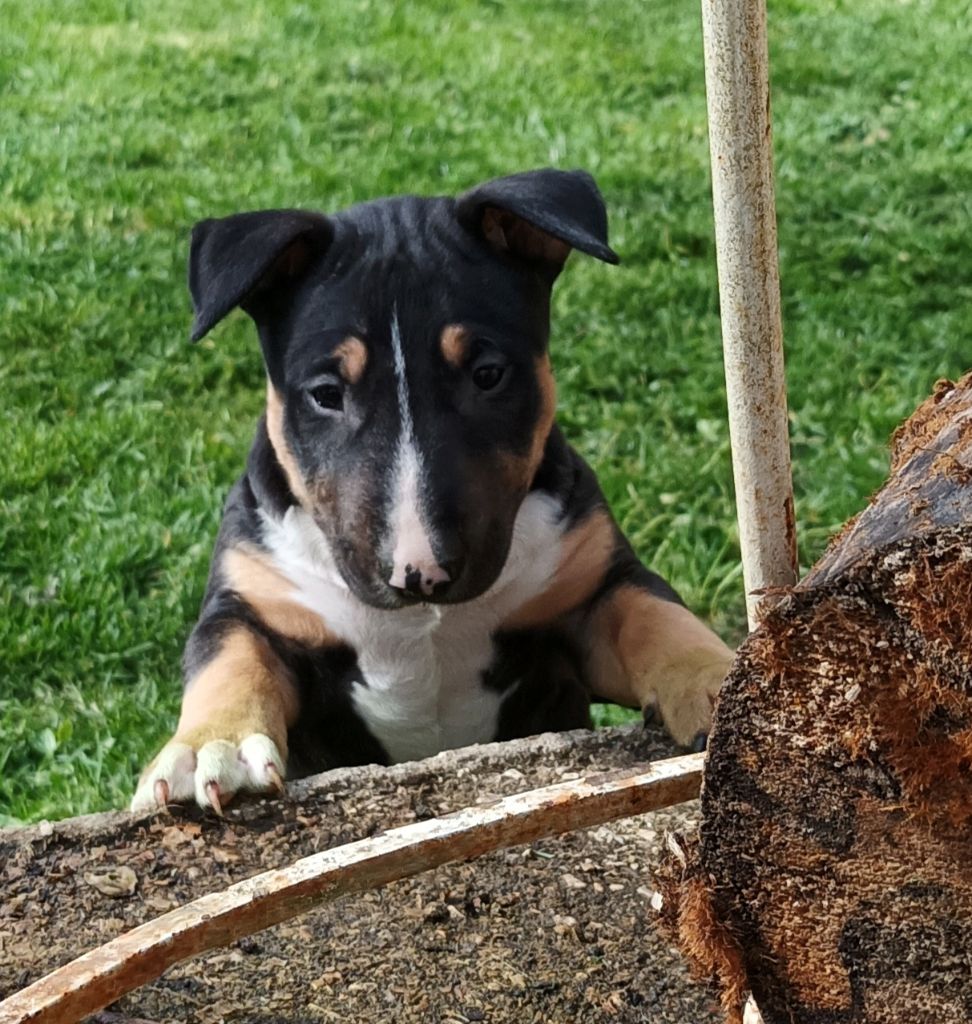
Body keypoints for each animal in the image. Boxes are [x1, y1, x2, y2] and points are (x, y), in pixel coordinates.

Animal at [130, 168, 733, 814]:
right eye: (326, 393)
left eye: (488, 374)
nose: (420, 575)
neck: (425, 622)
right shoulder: (248, 600)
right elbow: (230, 657)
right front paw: (210, 748)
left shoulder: (593, 593)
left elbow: (656, 617)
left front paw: (722, 678)